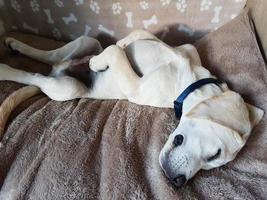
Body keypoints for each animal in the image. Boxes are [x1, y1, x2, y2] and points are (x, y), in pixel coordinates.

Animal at [0, 30, 264, 188]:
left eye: (213, 161)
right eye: (215, 154)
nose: (178, 182)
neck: (190, 81)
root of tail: (59, 70)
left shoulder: (135, 86)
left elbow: (117, 52)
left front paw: (105, 58)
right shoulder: (180, 48)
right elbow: (133, 40)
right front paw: (116, 49)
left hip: (66, 87)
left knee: (35, 76)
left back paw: (7, 68)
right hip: (87, 42)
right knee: (51, 56)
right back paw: (17, 45)